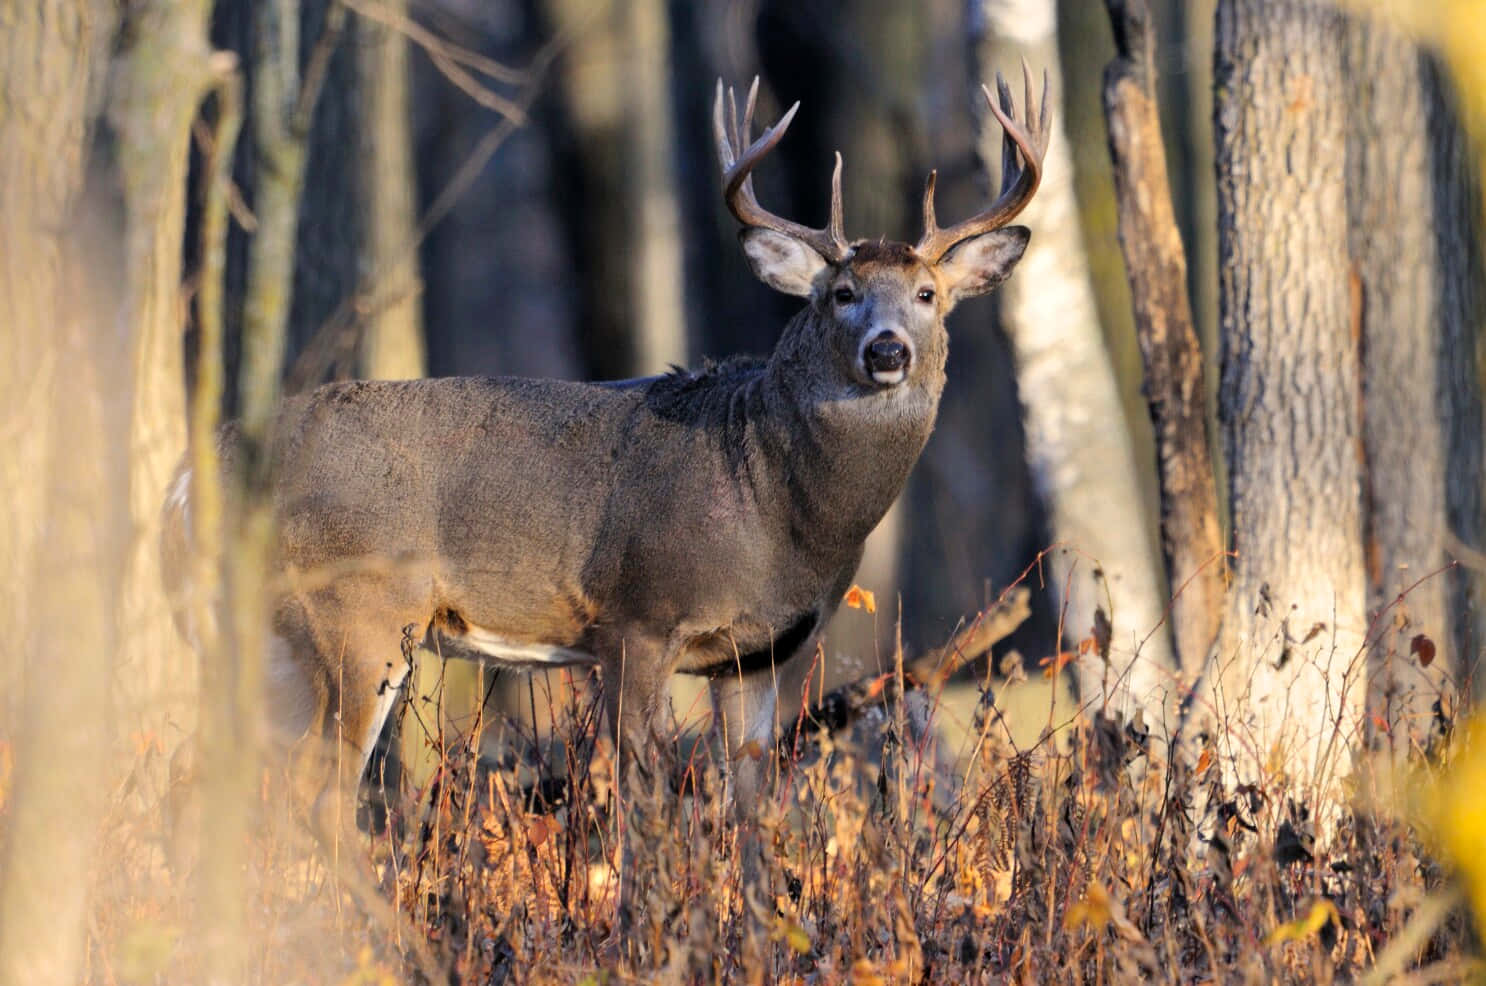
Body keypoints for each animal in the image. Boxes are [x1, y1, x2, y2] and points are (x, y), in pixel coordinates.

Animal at [162, 67, 1049, 915]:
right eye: (841, 294)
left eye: (928, 295)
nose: (888, 350)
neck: (775, 504)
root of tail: (200, 467)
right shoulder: (636, 620)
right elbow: (644, 803)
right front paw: (644, 926)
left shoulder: (757, 656)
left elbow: (751, 809)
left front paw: (760, 930)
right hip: (355, 613)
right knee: (319, 793)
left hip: (264, 637)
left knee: (228, 788)